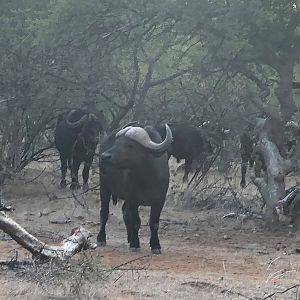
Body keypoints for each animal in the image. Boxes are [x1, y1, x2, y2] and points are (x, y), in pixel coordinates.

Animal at [98, 123, 172, 253]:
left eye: (129, 145)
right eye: (116, 142)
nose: (105, 156)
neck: (146, 178)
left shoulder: (159, 200)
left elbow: (154, 223)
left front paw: (155, 245)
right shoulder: (132, 200)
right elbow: (136, 222)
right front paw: (135, 244)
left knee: (124, 212)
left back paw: (129, 237)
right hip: (104, 187)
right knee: (104, 213)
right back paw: (101, 238)